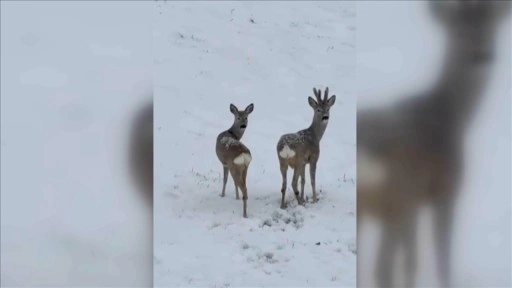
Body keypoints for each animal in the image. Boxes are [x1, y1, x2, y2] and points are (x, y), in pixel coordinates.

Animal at [358, 1, 510, 286]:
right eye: (459, 31)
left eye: (492, 27)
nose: (482, 55)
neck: (452, 118)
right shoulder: (445, 192)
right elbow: (441, 264)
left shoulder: (416, 203)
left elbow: (411, 262)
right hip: (397, 196)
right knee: (383, 267)